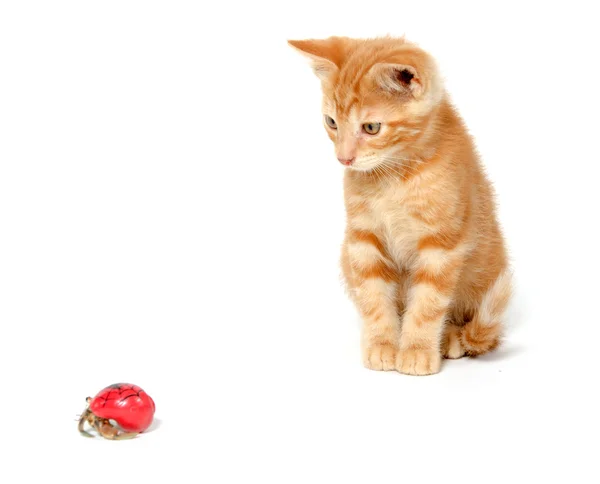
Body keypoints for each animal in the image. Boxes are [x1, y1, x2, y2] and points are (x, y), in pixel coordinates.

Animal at [290, 36, 510, 374]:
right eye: (331, 122)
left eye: (371, 128)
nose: (343, 158)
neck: (394, 176)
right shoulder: (362, 238)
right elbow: (373, 297)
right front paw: (383, 345)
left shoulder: (442, 243)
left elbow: (428, 304)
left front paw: (416, 350)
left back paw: (450, 338)